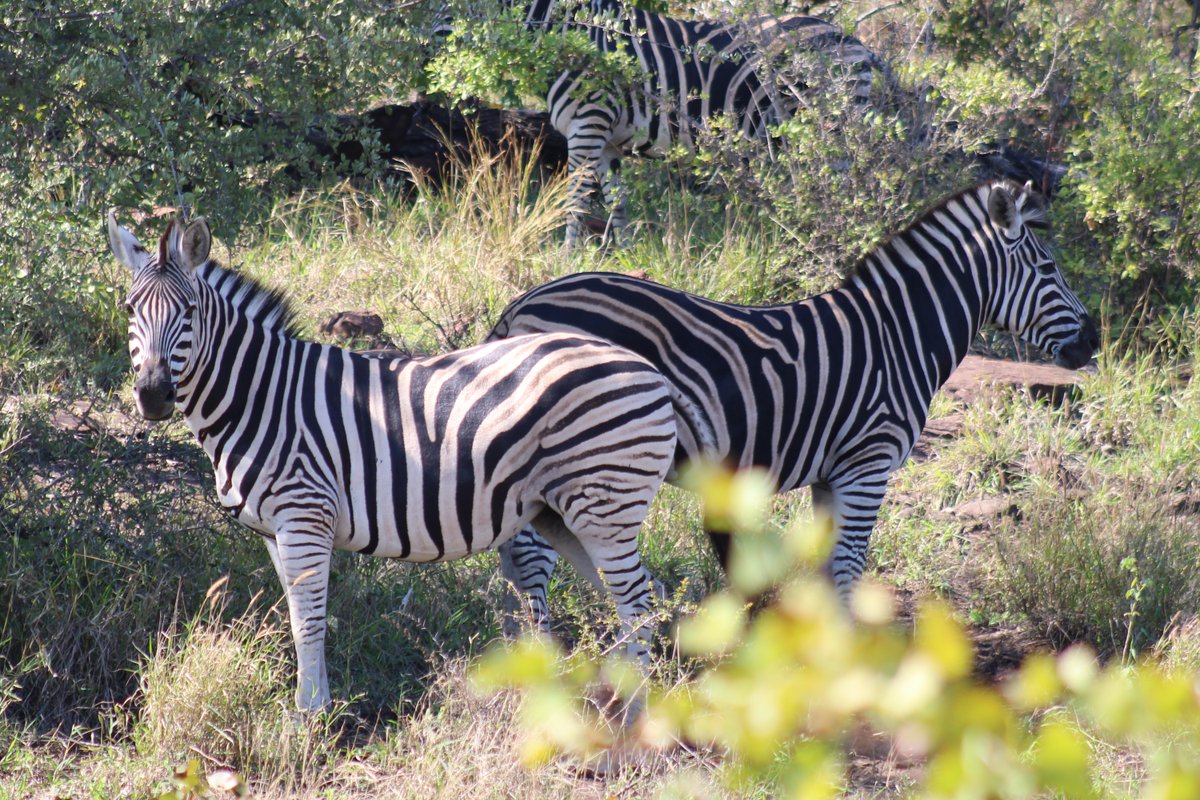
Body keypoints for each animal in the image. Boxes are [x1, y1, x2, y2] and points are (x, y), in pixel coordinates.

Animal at [108, 213, 678, 712]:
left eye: (188, 312)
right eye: (131, 311)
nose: (153, 396)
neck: (262, 397)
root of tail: (644, 367)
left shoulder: (305, 516)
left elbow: (309, 621)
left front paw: (306, 720)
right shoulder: (275, 530)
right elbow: (298, 617)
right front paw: (316, 710)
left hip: (603, 504)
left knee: (635, 599)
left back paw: (635, 713)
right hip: (563, 515)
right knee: (644, 594)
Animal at [489, 179, 1099, 611]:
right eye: (1048, 267)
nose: (1092, 342)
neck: (900, 336)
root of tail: (521, 305)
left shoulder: (833, 474)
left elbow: (830, 575)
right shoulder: (867, 463)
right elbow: (850, 571)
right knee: (529, 558)